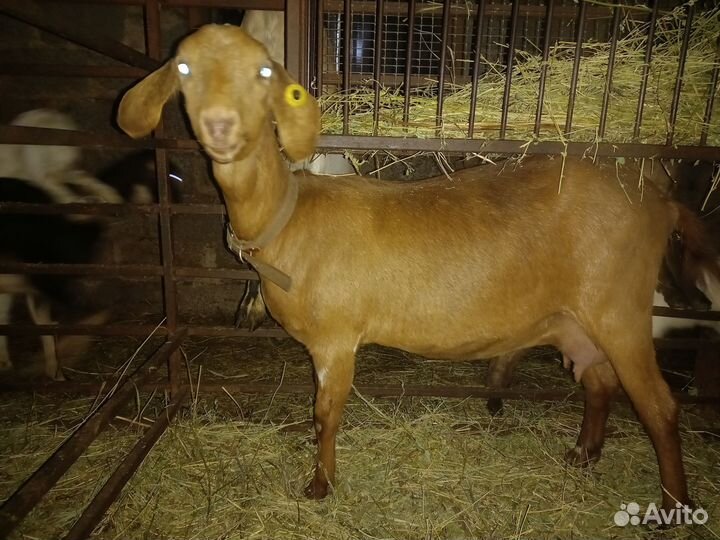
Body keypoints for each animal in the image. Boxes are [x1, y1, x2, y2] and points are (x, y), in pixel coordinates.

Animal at [118, 25, 693, 510]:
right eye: (184, 68)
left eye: (263, 72)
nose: (220, 126)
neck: (287, 219)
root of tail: (659, 203)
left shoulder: (335, 340)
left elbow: (325, 415)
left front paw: (320, 486)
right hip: (575, 321)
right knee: (599, 383)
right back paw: (583, 454)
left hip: (620, 310)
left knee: (659, 406)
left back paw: (673, 504)